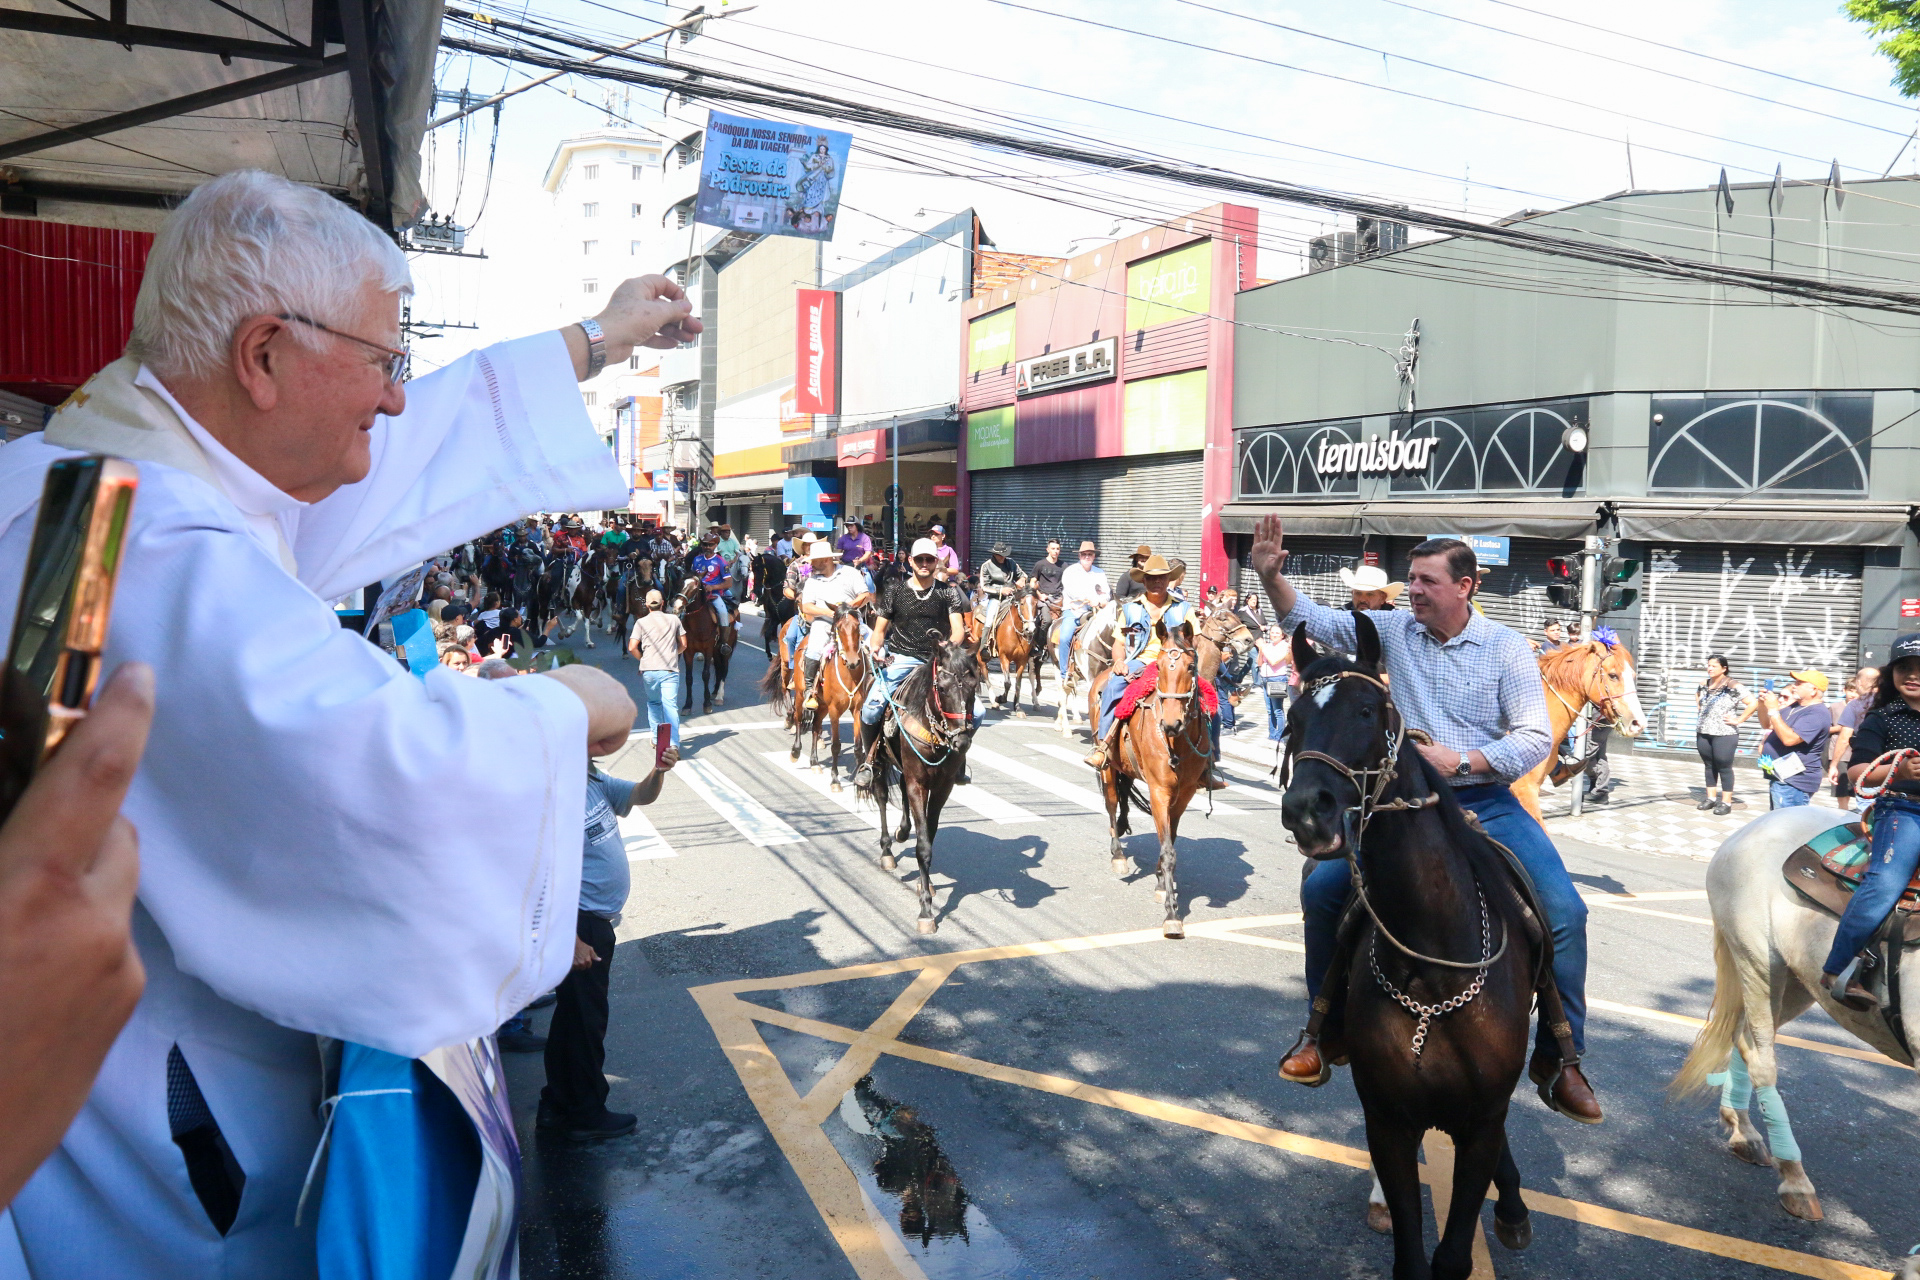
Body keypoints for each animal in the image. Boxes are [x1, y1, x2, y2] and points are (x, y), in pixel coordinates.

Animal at [779, 610, 871, 790]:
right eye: (839, 628)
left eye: (858, 626)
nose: (853, 661)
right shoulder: (834, 710)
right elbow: (835, 746)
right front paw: (835, 780)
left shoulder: (857, 709)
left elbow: (858, 747)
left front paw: (859, 778)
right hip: (800, 695)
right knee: (798, 718)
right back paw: (795, 751)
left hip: (822, 705)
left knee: (816, 727)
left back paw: (814, 762)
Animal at [860, 637, 983, 932]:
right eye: (943, 687)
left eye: (974, 686)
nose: (961, 741)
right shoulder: (918, 782)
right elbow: (923, 846)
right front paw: (926, 909)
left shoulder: (942, 786)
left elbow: (930, 832)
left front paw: (924, 884)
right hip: (878, 758)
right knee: (882, 795)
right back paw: (887, 850)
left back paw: (902, 831)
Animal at [990, 587, 1052, 717]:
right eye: (1022, 603)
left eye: (1036, 605)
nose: (1030, 629)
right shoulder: (1004, 657)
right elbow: (1007, 682)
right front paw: (1000, 699)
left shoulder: (1023, 660)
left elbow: (1018, 684)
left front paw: (1017, 707)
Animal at [1674, 802, 1912, 1228]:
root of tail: (1753, 825)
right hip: (1758, 962)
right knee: (1762, 1061)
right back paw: (1795, 1181)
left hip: (1800, 982)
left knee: (1747, 1039)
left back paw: (1744, 1133)